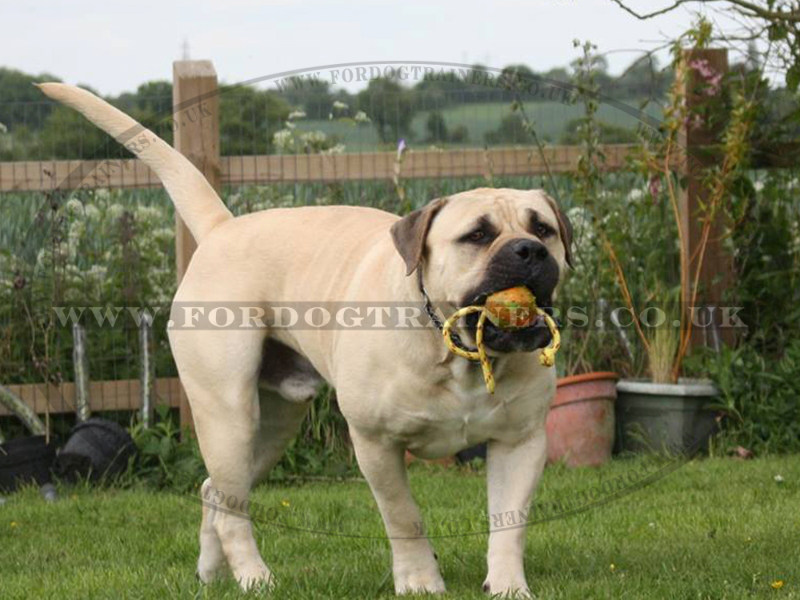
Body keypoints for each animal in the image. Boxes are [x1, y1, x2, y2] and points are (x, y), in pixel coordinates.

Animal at [40, 83, 572, 596]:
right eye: (477, 235)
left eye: (543, 228)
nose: (529, 250)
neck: (457, 353)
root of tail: (222, 228)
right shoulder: (375, 443)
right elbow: (404, 517)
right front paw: (421, 582)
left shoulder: (520, 442)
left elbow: (509, 525)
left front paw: (509, 587)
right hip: (229, 416)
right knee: (231, 504)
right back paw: (255, 578)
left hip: (273, 425)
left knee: (217, 493)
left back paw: (211, 575)